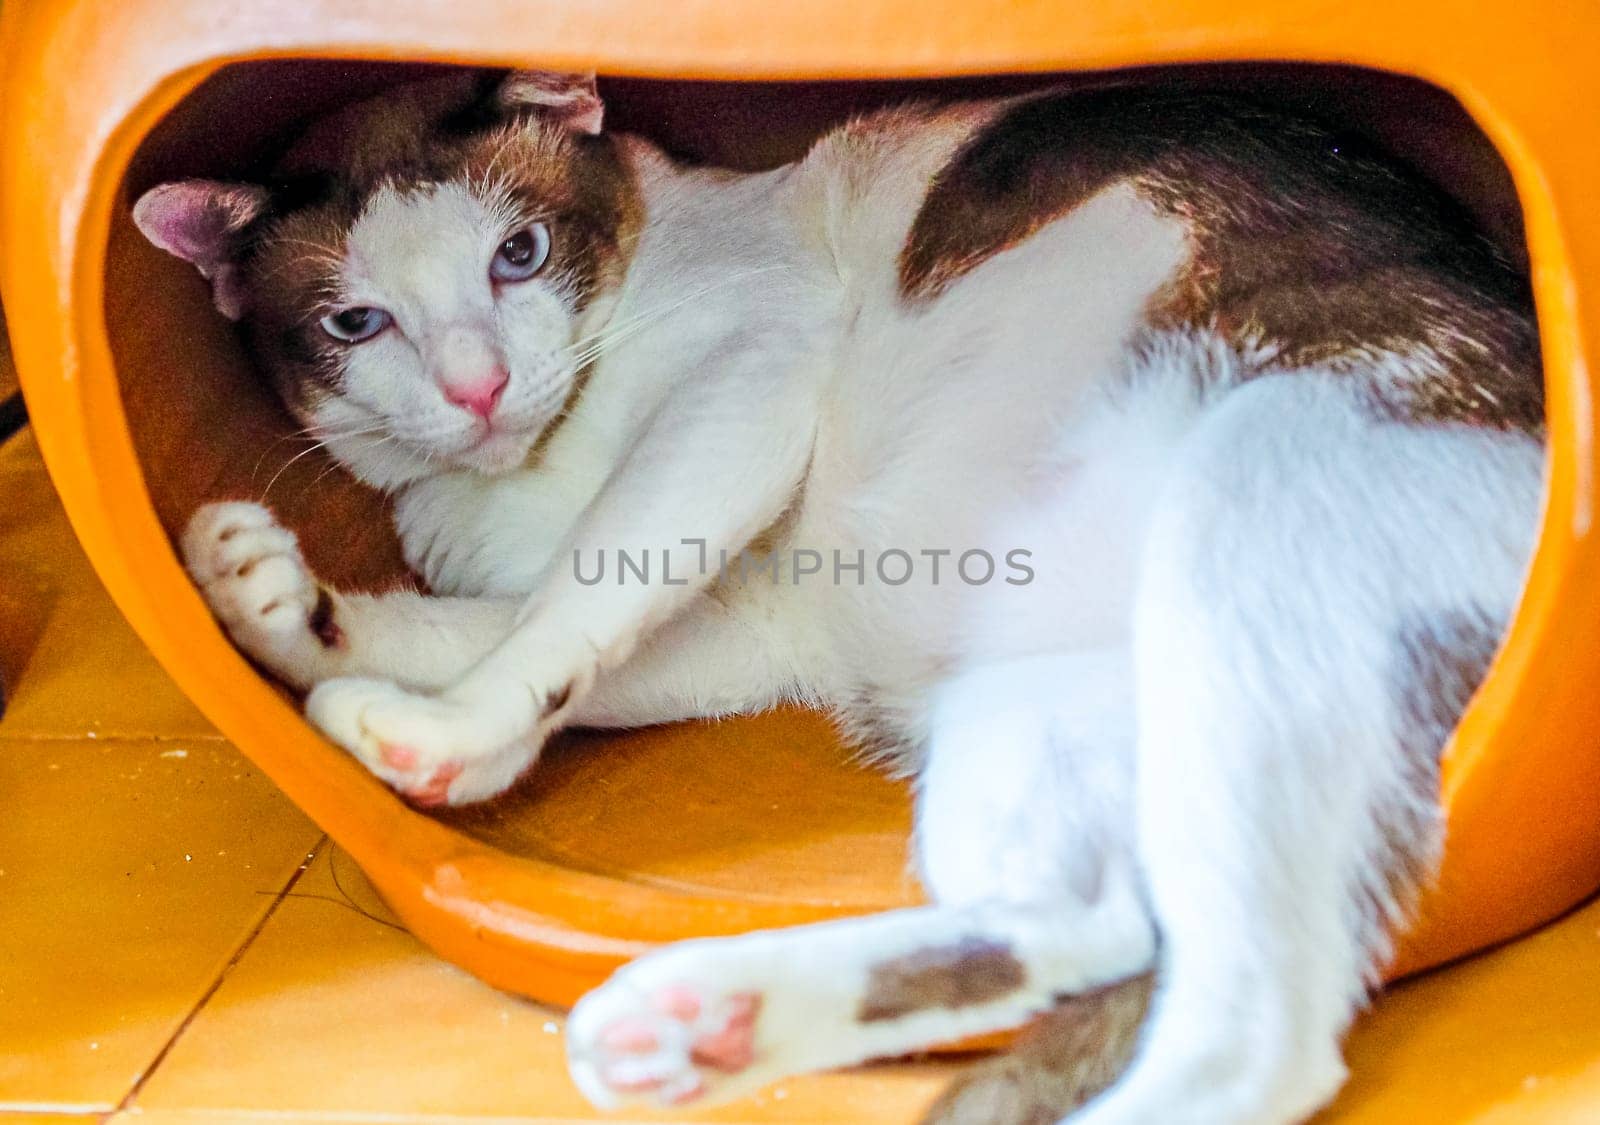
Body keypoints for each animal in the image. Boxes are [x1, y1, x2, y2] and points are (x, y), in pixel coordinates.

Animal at [134, 72, 1536, 1125]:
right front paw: (290, 619)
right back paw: (705, 1022)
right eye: (355, 324)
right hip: (1044, 716)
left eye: (516, 256)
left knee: (1251, 1032)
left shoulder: (750, 376)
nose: (476, 387)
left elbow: (573, 594)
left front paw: (452, 736)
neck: (527, 474)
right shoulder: (757, 621)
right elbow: (501, 631)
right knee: (1095, 928)